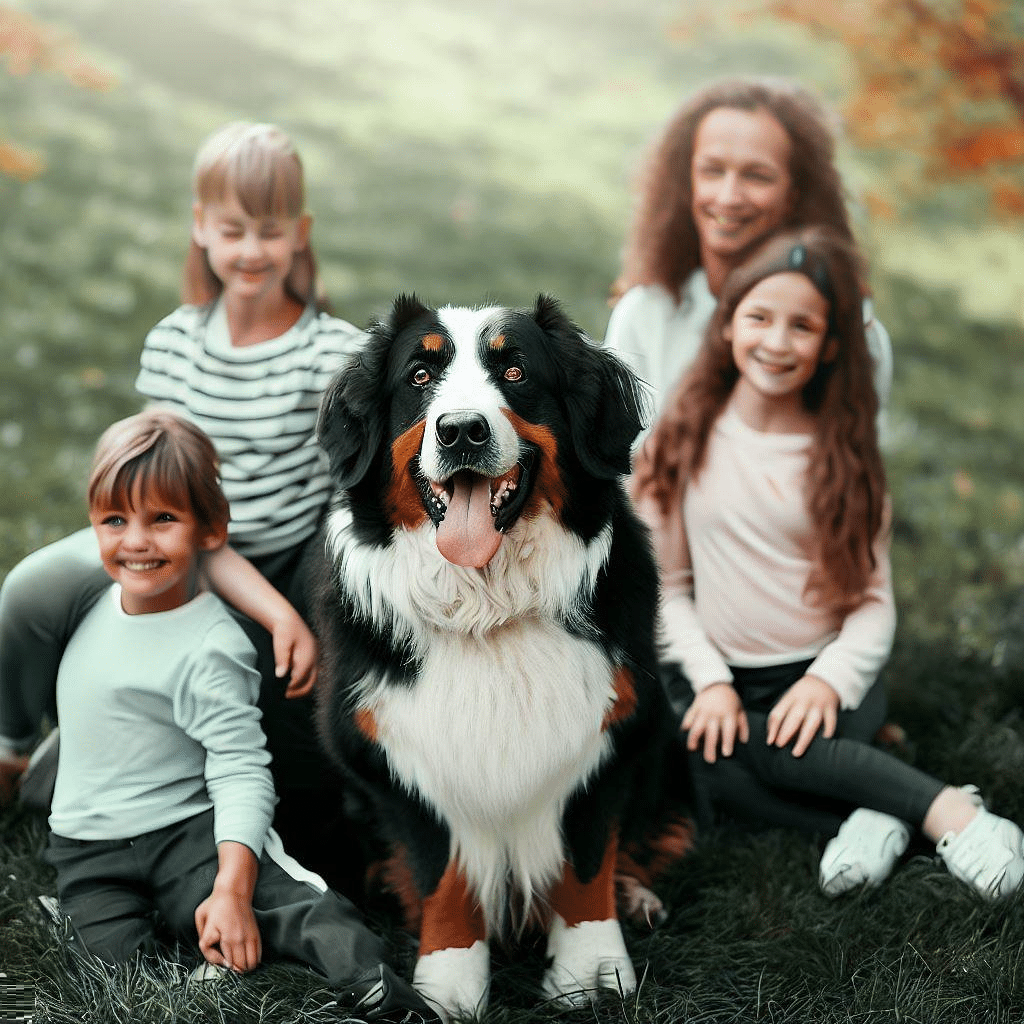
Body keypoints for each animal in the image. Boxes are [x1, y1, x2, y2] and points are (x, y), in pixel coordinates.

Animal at [311, 292, 679, 1019]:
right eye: (419, 377)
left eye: (515, 373)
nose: (461, 431)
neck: (490, 609)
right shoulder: (394, 754)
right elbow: (443, 873)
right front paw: (448, 985)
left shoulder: (615, 729)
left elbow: (586, 862)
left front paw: (592, 972)